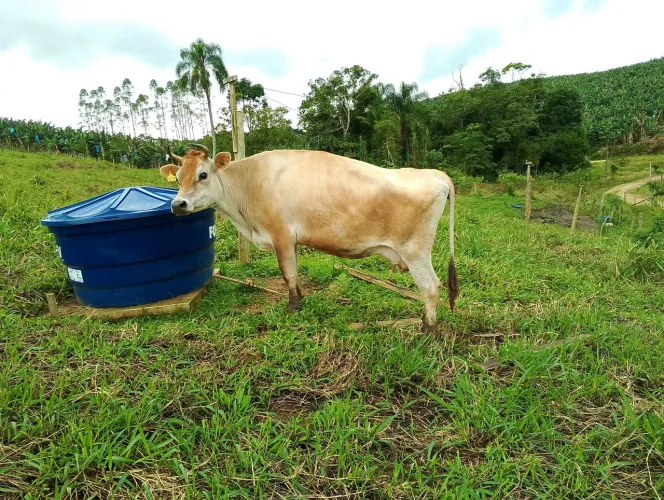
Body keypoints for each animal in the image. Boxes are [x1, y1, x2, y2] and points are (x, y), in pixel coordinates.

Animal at [160, 144, 458, 332]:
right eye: (178, 177)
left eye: (203, 174)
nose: (178, 204)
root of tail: (436, 174)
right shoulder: (292, 240)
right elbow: (295, 271)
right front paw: (300, 298)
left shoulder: (280, 235)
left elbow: (287, 273)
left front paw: (292, 306)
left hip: (415, 252)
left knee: (431, 287)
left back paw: (427, 328)